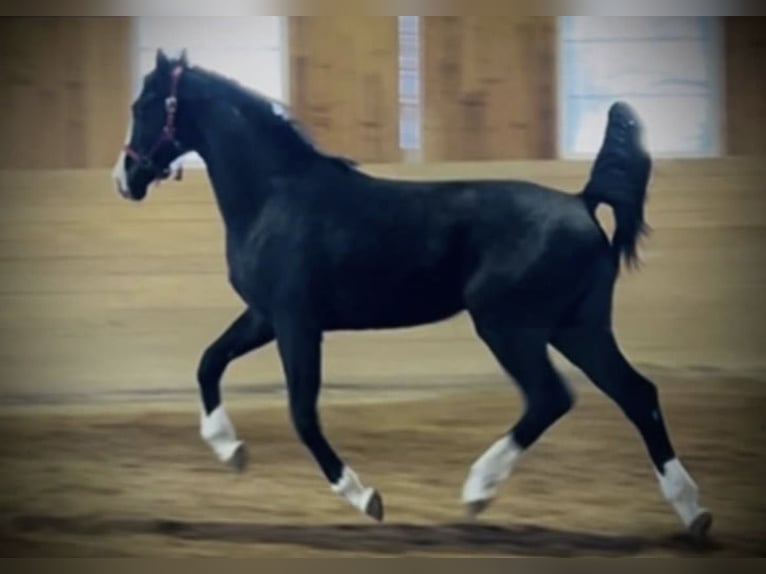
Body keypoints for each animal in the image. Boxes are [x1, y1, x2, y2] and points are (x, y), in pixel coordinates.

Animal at [112, 49, 712, 541]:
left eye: (144, 104)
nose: (125, 178)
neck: (275, 196)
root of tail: (582, 202)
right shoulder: (263, 316)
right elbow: (209, 362)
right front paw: (231, 450)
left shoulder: (295, 322)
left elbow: (302, 413)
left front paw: (365, 498)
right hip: (577, 328)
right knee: (637, 394)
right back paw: (694, 513)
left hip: (510, 327)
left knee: (551, 397)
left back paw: (477, 492)